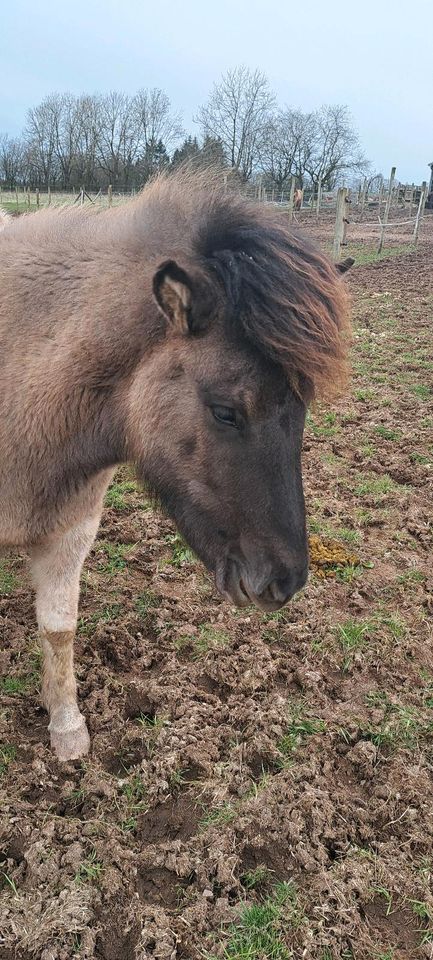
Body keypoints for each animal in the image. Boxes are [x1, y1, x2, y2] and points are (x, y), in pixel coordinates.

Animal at [0, 169, 352, 760]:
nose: (284, 581)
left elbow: (59, 628)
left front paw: (66, 726)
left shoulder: (70, 531)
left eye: (302, 409)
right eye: (226, 411)